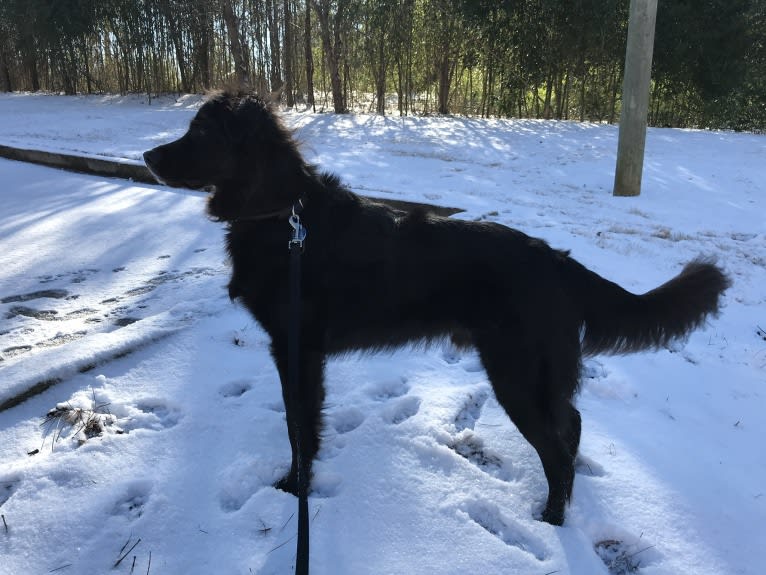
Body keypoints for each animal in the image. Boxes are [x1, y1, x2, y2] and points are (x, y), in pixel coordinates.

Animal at [146, 91, 732, 528]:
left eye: (200, 134)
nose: (149, 159)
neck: (282, 216)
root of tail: (556, 259)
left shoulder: (296, 349)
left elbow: (298, 426)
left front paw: (295, 488)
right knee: (573, 425)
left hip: (517, 375)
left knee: (558, 450)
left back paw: (552, 519)